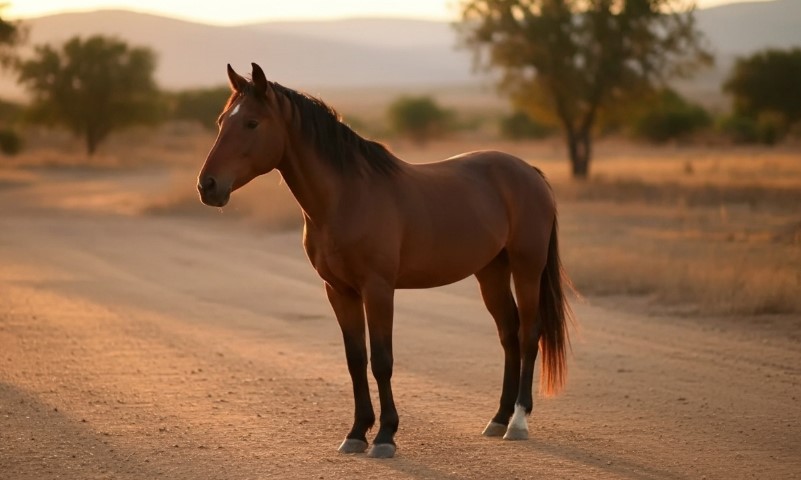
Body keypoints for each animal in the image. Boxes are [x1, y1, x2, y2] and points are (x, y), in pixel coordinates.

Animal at [197, 63, 573, 459]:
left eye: (252, 123)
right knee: (508, 333)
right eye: (221, 121)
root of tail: (529, 172)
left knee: (529, 333)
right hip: (491, 272)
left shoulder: (378, 290)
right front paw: (356, 433)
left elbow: (381, 361)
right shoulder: (339, 291)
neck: (347, 198)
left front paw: (385, 436)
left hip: (527, 268)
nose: (208, 186)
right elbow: (356, 360)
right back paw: (498, 418)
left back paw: (518, 421)